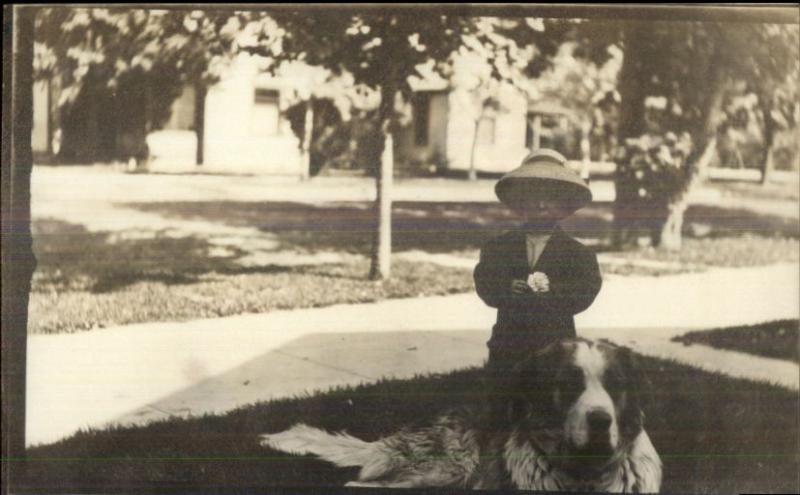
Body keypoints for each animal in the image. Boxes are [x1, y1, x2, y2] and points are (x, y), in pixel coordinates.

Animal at [260, 338, 660, 492]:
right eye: (570, 385)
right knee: (364, 485)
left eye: (616, 385)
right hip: (448, 468)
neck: (586, 475)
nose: (600, 420)